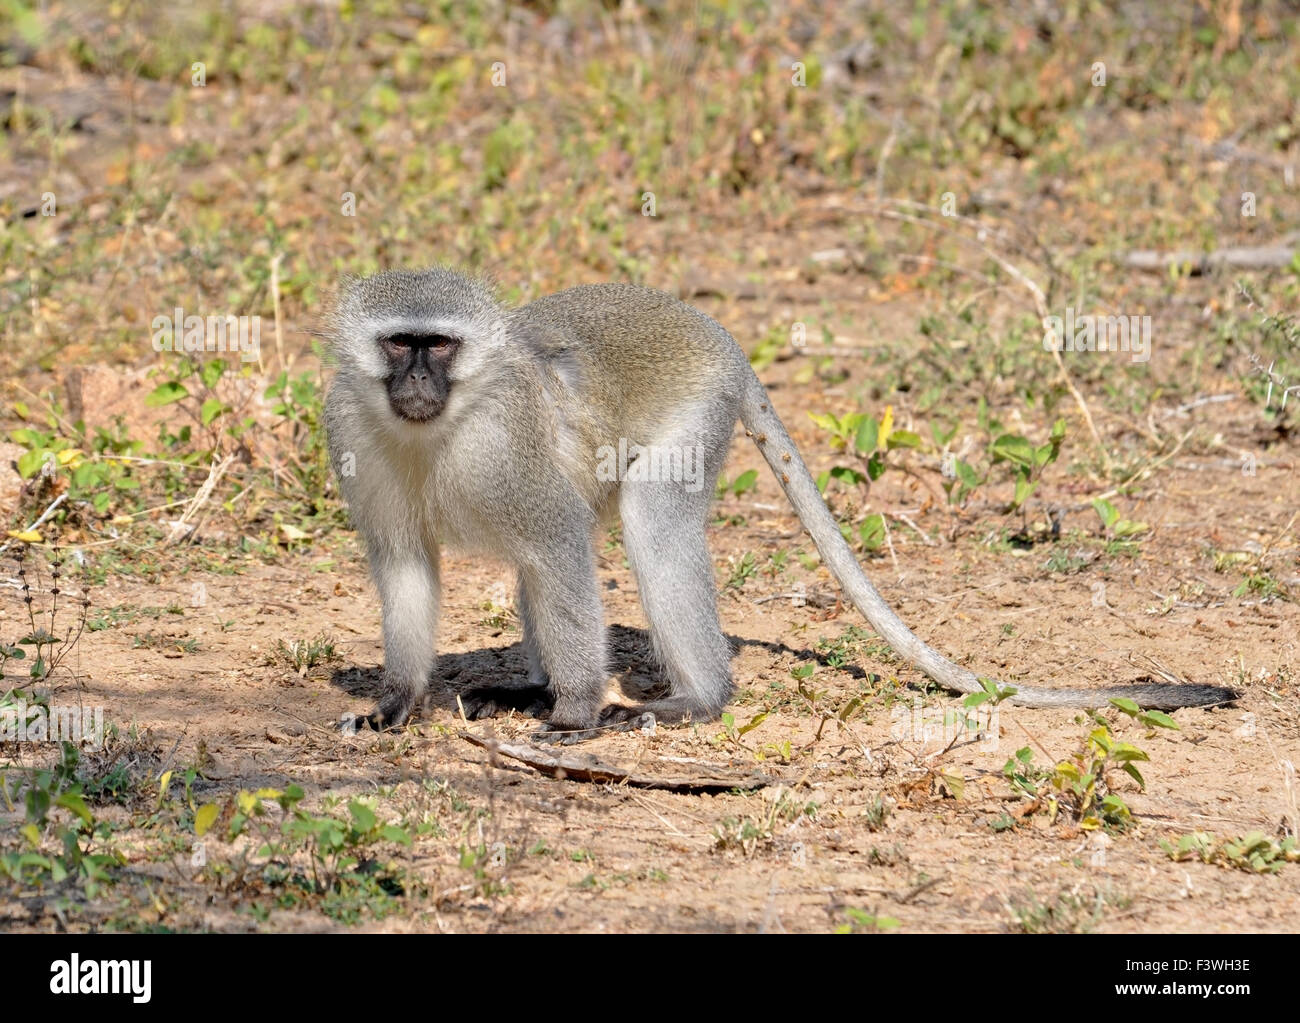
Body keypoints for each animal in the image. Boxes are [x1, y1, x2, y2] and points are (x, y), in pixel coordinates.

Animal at [325, 267, 1237, 738]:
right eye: (398, 345)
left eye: (439, 346)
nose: (416, 382)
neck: (439, 427)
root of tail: (719, 335)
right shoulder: (352, 431)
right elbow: (408, 566)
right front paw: (397, 701)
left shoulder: (509, 448)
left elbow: (557, 546)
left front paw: (576, 711)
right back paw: (532, 686)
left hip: (698, 403)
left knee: (649, 522)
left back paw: (698, 698)